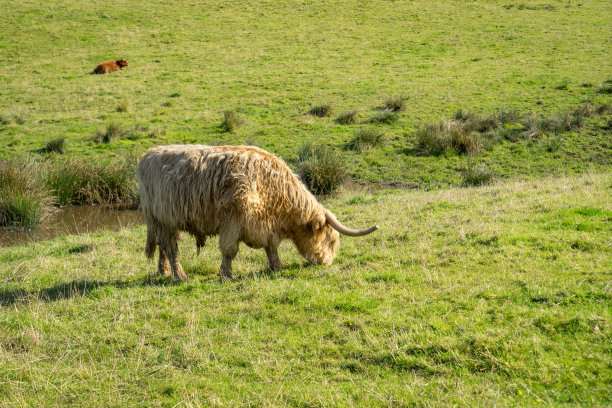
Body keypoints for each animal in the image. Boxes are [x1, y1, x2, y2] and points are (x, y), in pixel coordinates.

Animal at [137, 145, 380, 282]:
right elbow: (229, 251)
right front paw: (226, 276)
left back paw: (164, 272)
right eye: (331, 240)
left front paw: (277, 267)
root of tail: (148, 154)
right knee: (170, 248)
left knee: (163, 247)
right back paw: (180, 276)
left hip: (165, 222)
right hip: (163, 219)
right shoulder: (233, 220)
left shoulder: (266, 227)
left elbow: (272, 248)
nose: (328, 262)